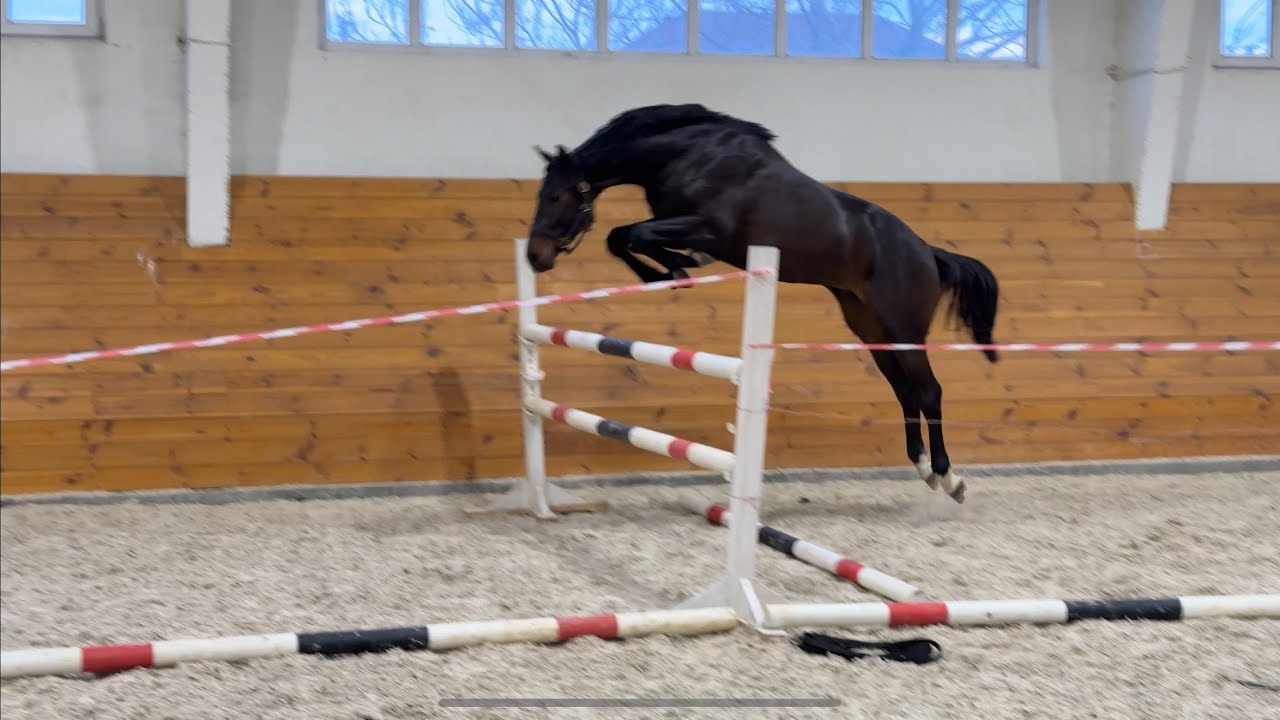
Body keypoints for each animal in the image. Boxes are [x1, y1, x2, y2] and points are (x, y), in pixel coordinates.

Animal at [524, 103, 1000, 503]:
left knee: (928, 390)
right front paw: (673, 270)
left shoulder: (707, 228)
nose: (535, 256)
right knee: (904, 390)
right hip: (870, 328)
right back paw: (922, 466)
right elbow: (621, 236)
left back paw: (948, 476)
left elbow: (631, 234)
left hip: (903, 328)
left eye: (556, 196)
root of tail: (926, 252)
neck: (687, 155)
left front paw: (674, 270)